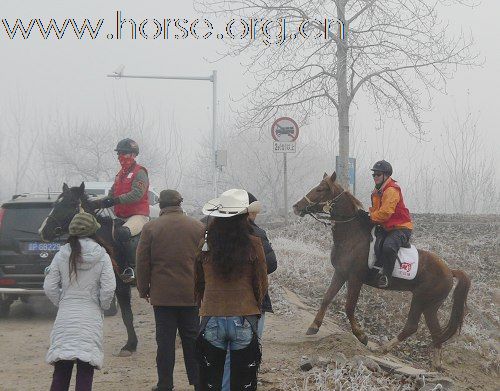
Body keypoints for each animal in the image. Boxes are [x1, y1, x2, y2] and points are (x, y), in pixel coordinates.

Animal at [292, 173, 470, 370]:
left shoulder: (355, 278)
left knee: (414, 326)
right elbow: (326, 298)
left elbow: (349, 307)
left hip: (422, 299)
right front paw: (314, 326)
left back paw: (386, 349)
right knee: (433, 330)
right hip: (430, 305)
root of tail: (449, 271)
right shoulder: (340, 273)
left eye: (320, 189)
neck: (351, 236)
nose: (296, 206)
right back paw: (433, 363)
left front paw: (361, 335)